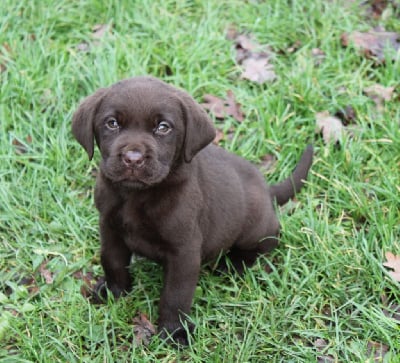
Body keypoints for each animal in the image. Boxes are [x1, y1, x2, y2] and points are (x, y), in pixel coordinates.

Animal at [72, 76, 312, 344]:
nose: (133, 159)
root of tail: (266, 189)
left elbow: (175, 295)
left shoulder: (184, 251)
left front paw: (174, 331)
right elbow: (112, 261)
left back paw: (233, 264)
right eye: (112, 123)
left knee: (267, 242)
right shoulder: (110, 228)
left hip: (255, 229)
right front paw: (113, 291)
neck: (137, 195)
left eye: (163, 127)